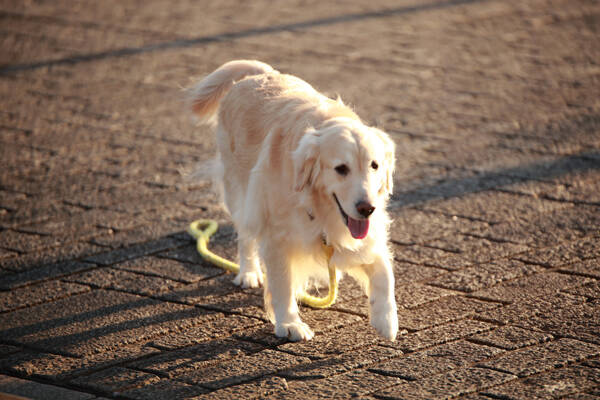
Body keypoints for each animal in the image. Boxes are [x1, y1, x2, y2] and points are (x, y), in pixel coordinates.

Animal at [189, 60, 398, 340]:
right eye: (341, 169)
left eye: (374, 165)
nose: (367, 209)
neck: (319, 208)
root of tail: (258, 74)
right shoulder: (276, 237)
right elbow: (282, 284)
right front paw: (289, 324)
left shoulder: (367, 234)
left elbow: (384, 272)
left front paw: (386, 319)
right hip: (241, 193)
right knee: (245, 236)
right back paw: (249, 272)